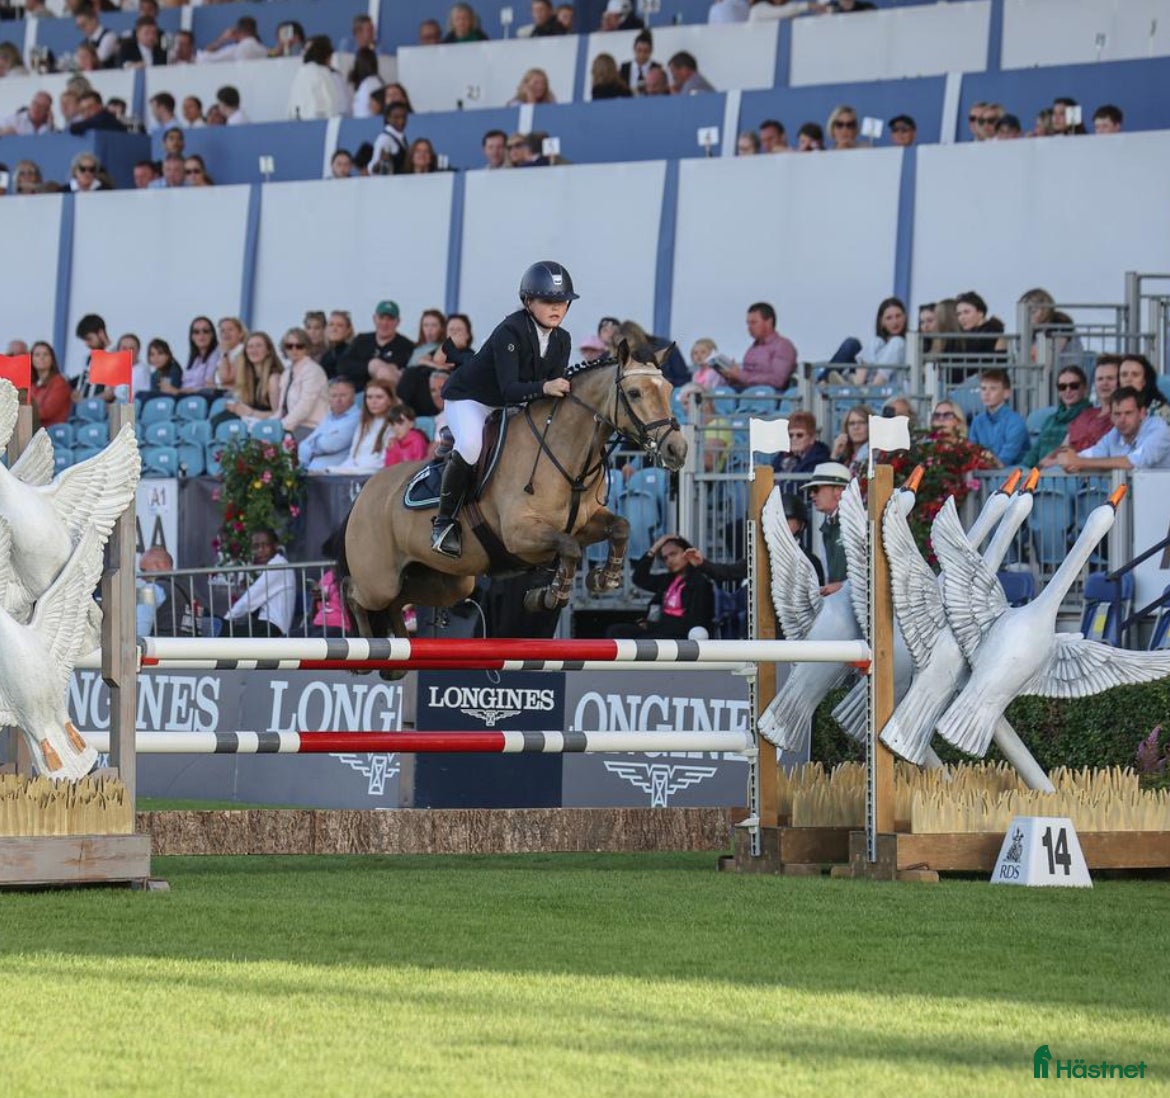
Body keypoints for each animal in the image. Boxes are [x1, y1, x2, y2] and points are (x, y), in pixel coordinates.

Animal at [338, 340, 687, 644]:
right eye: (634, 392)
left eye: (669, 390)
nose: (677, 449)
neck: (567, 453)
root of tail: (365, 493)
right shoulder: (519, 534)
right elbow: (570, 548)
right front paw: (552, 594)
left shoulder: (584, 523)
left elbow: (620, 527)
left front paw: (605, 578)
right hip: (379, 579)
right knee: (355, 591)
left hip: (448, 582)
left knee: (398, 600)